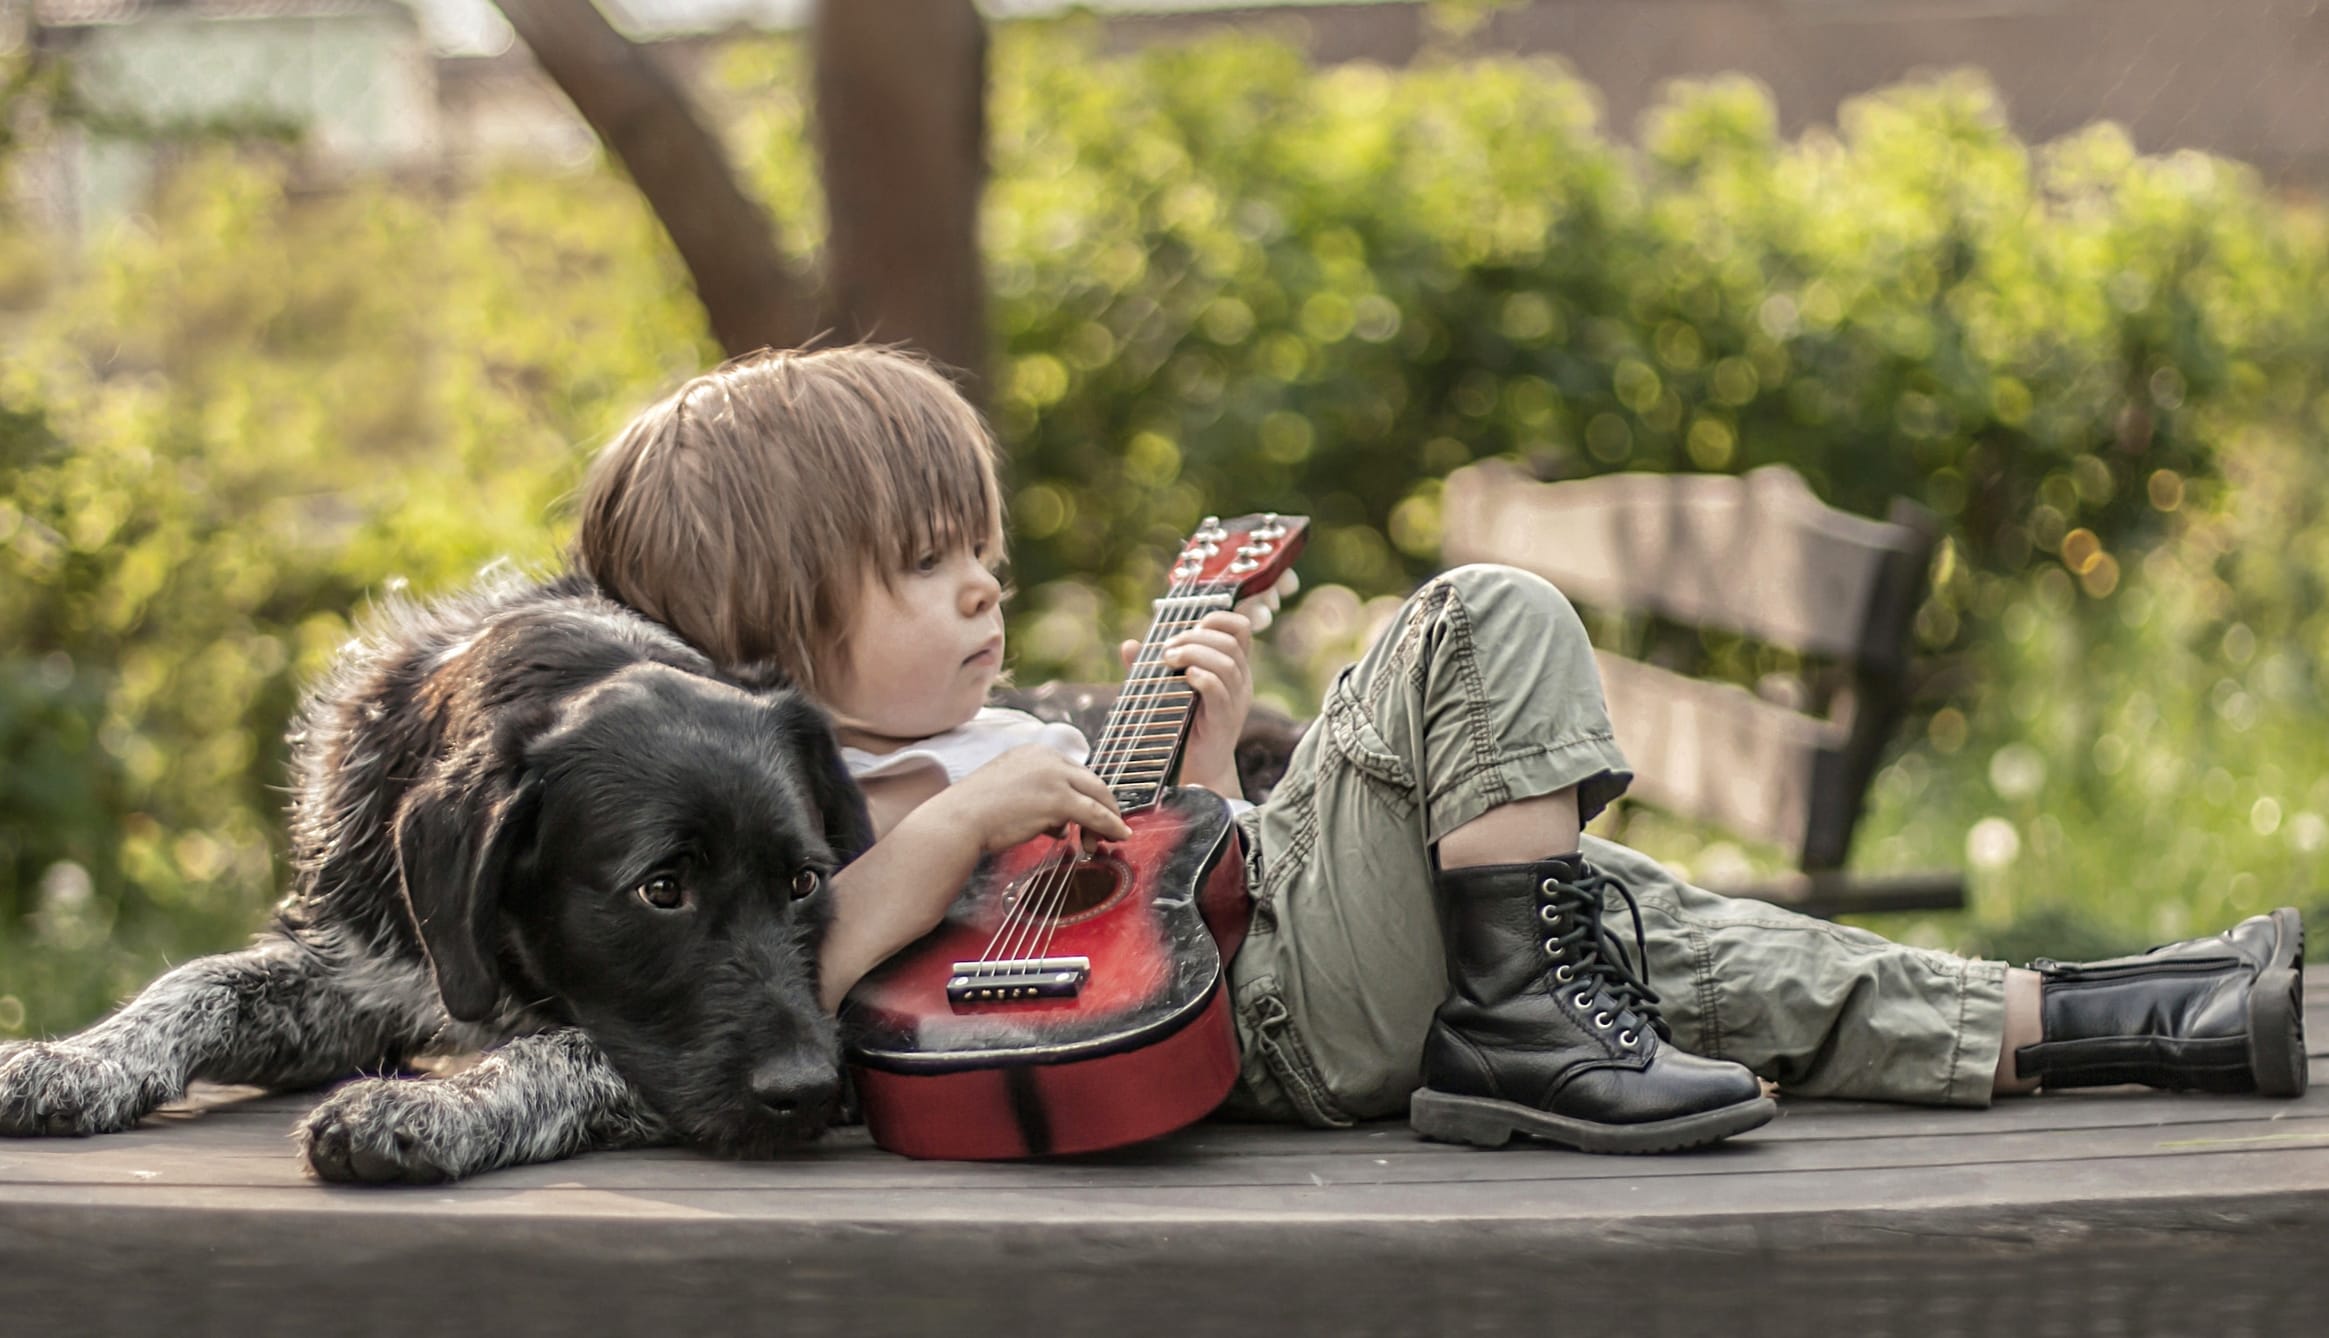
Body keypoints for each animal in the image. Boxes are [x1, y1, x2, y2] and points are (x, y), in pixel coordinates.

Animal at [0, 566, 871, 1184]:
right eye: (662, 890)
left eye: (804, 883)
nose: (815, 1091)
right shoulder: (357, 980)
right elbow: (200, 981)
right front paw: (83, 1059)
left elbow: (562, 1048)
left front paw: (431, 1103)